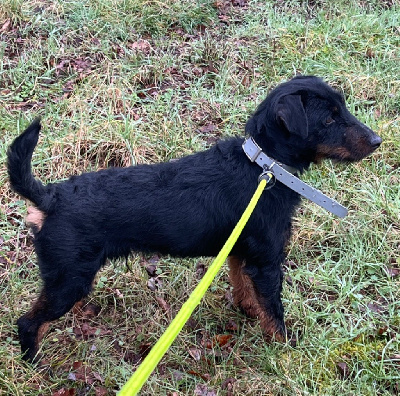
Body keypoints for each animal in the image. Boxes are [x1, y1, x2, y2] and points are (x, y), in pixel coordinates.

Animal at [7, 75, 382, 362]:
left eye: (342, 108)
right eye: (329, 120)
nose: (378, 141)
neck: (264, 168)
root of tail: (50, 197)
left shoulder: (241, 253)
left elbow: (243, 287)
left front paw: (248, 311)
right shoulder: (267, 261)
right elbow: (274, 310)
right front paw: (286, 349)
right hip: (68, 280)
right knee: (27, 322)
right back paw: (34, 363)